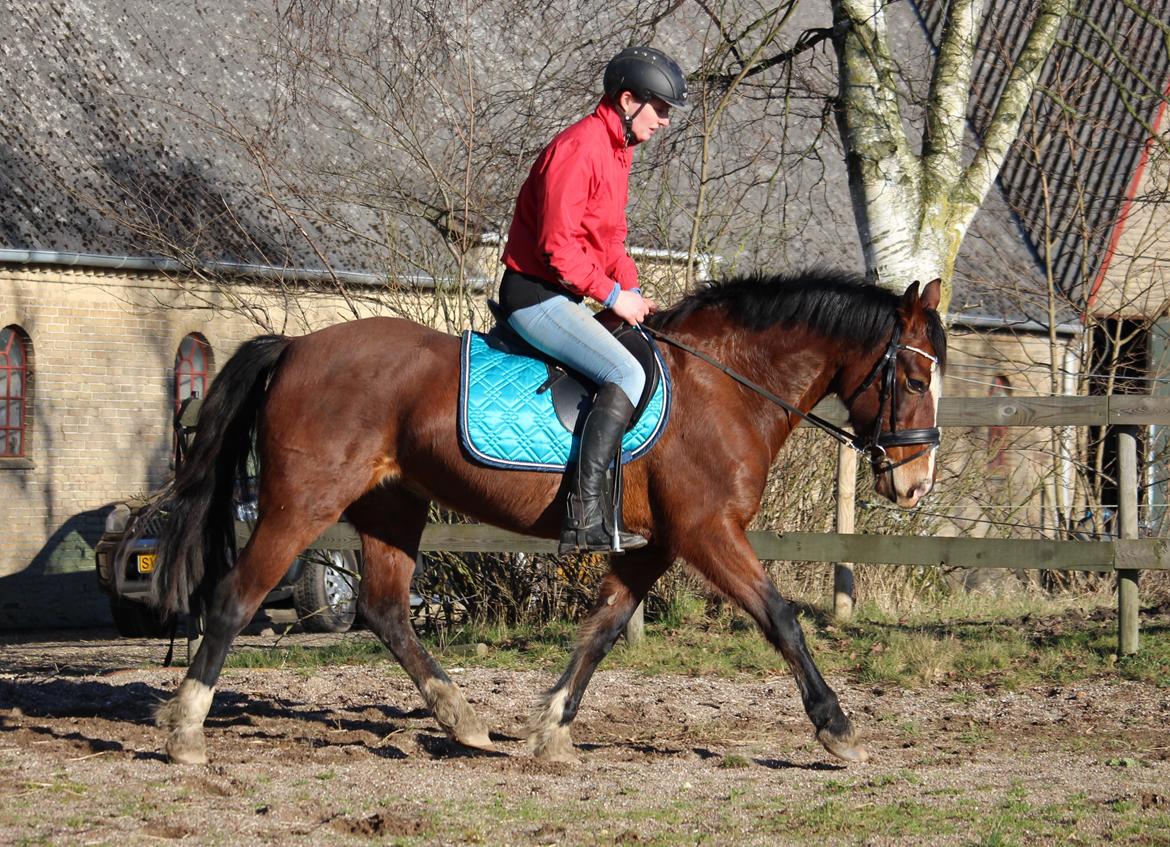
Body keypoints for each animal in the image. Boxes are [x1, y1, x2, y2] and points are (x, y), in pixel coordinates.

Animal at [150, 269, 945, 767]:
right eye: (911, 378)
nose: (914, 484)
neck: (724, 385)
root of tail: (296, 347)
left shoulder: (656, 545)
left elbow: (602, 630)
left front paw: (553, 727)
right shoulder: (708, 532)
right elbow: (781, 618)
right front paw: (838, 727)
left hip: (392, 502)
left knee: (385, 608)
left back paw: (465, 721)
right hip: (305, 501)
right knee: (236, 597)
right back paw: (186, 731)